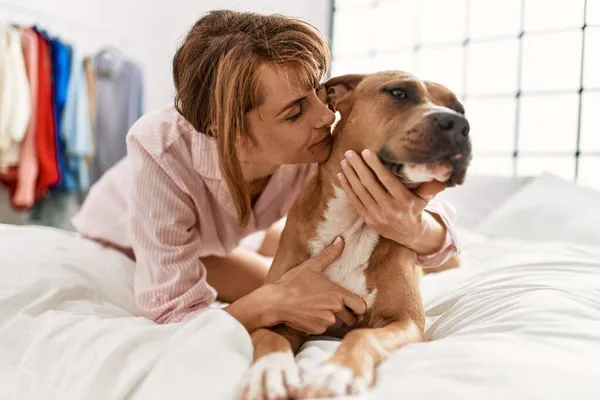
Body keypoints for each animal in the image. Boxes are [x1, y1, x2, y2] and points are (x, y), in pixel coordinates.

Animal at [237, 72, 472, 400]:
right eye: (398, 92)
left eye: (459, 109)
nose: (460, 124)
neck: (352, 223)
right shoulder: (280, 307)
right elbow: (271, 339)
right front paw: (268, 372)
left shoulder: (406, 320)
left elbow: (362, 336)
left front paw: (337, 373)